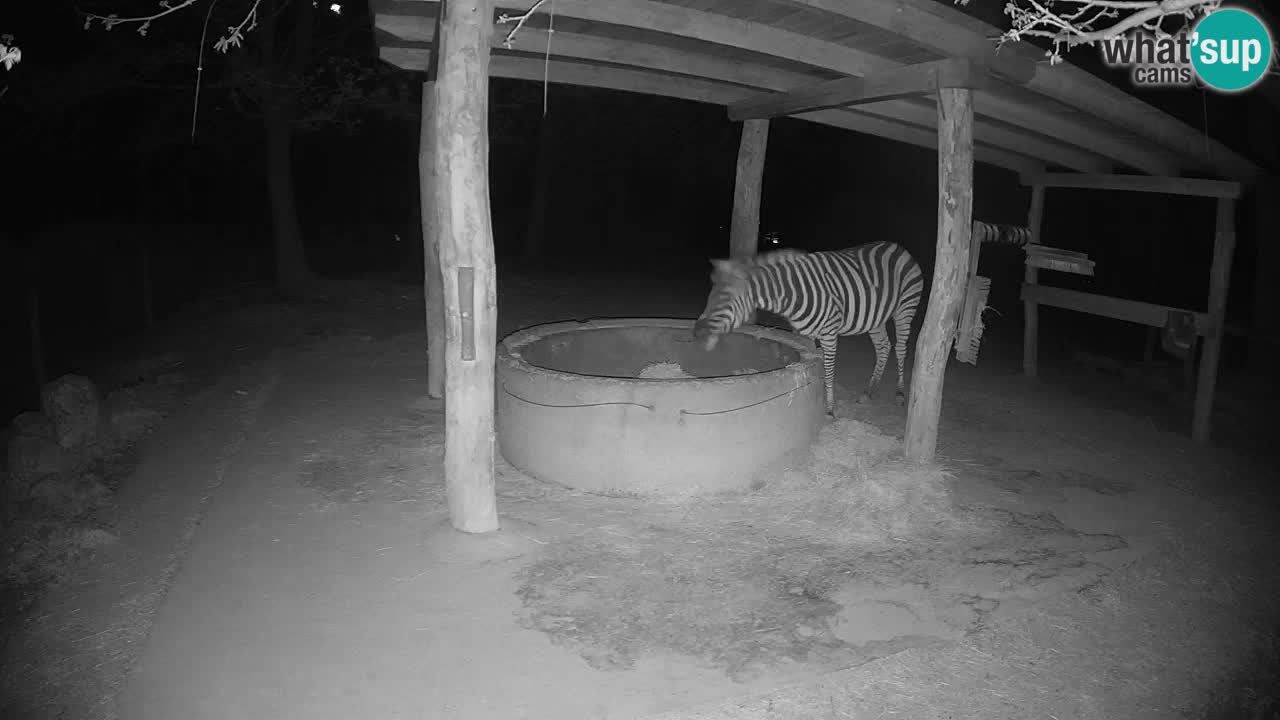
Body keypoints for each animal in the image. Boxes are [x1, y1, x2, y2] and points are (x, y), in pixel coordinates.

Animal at [693, 241, 924, 418]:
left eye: (725, 299)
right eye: (710, 295)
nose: (697, 336)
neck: (792, 295)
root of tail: (896, 246)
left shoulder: (829, 333)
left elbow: (828, 371)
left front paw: (829, 409)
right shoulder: (806, 334)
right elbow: (813, 367)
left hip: (905, 308)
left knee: (900, 348)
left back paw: (900, 395)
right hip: (875, 318)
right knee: (883, 346)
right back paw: (869, 391)